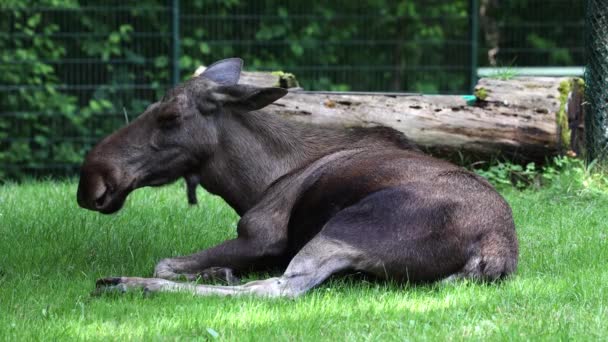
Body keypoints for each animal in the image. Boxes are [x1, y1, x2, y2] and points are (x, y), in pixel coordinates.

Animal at [75, 58, 516, 296]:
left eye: (169, 116)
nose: (92, 182)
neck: (252, 183)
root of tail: (494, 254)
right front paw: (219, 268)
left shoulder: (262, 235)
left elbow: (164, 263)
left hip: (346, 227)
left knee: (278, 288)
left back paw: (125, 283)